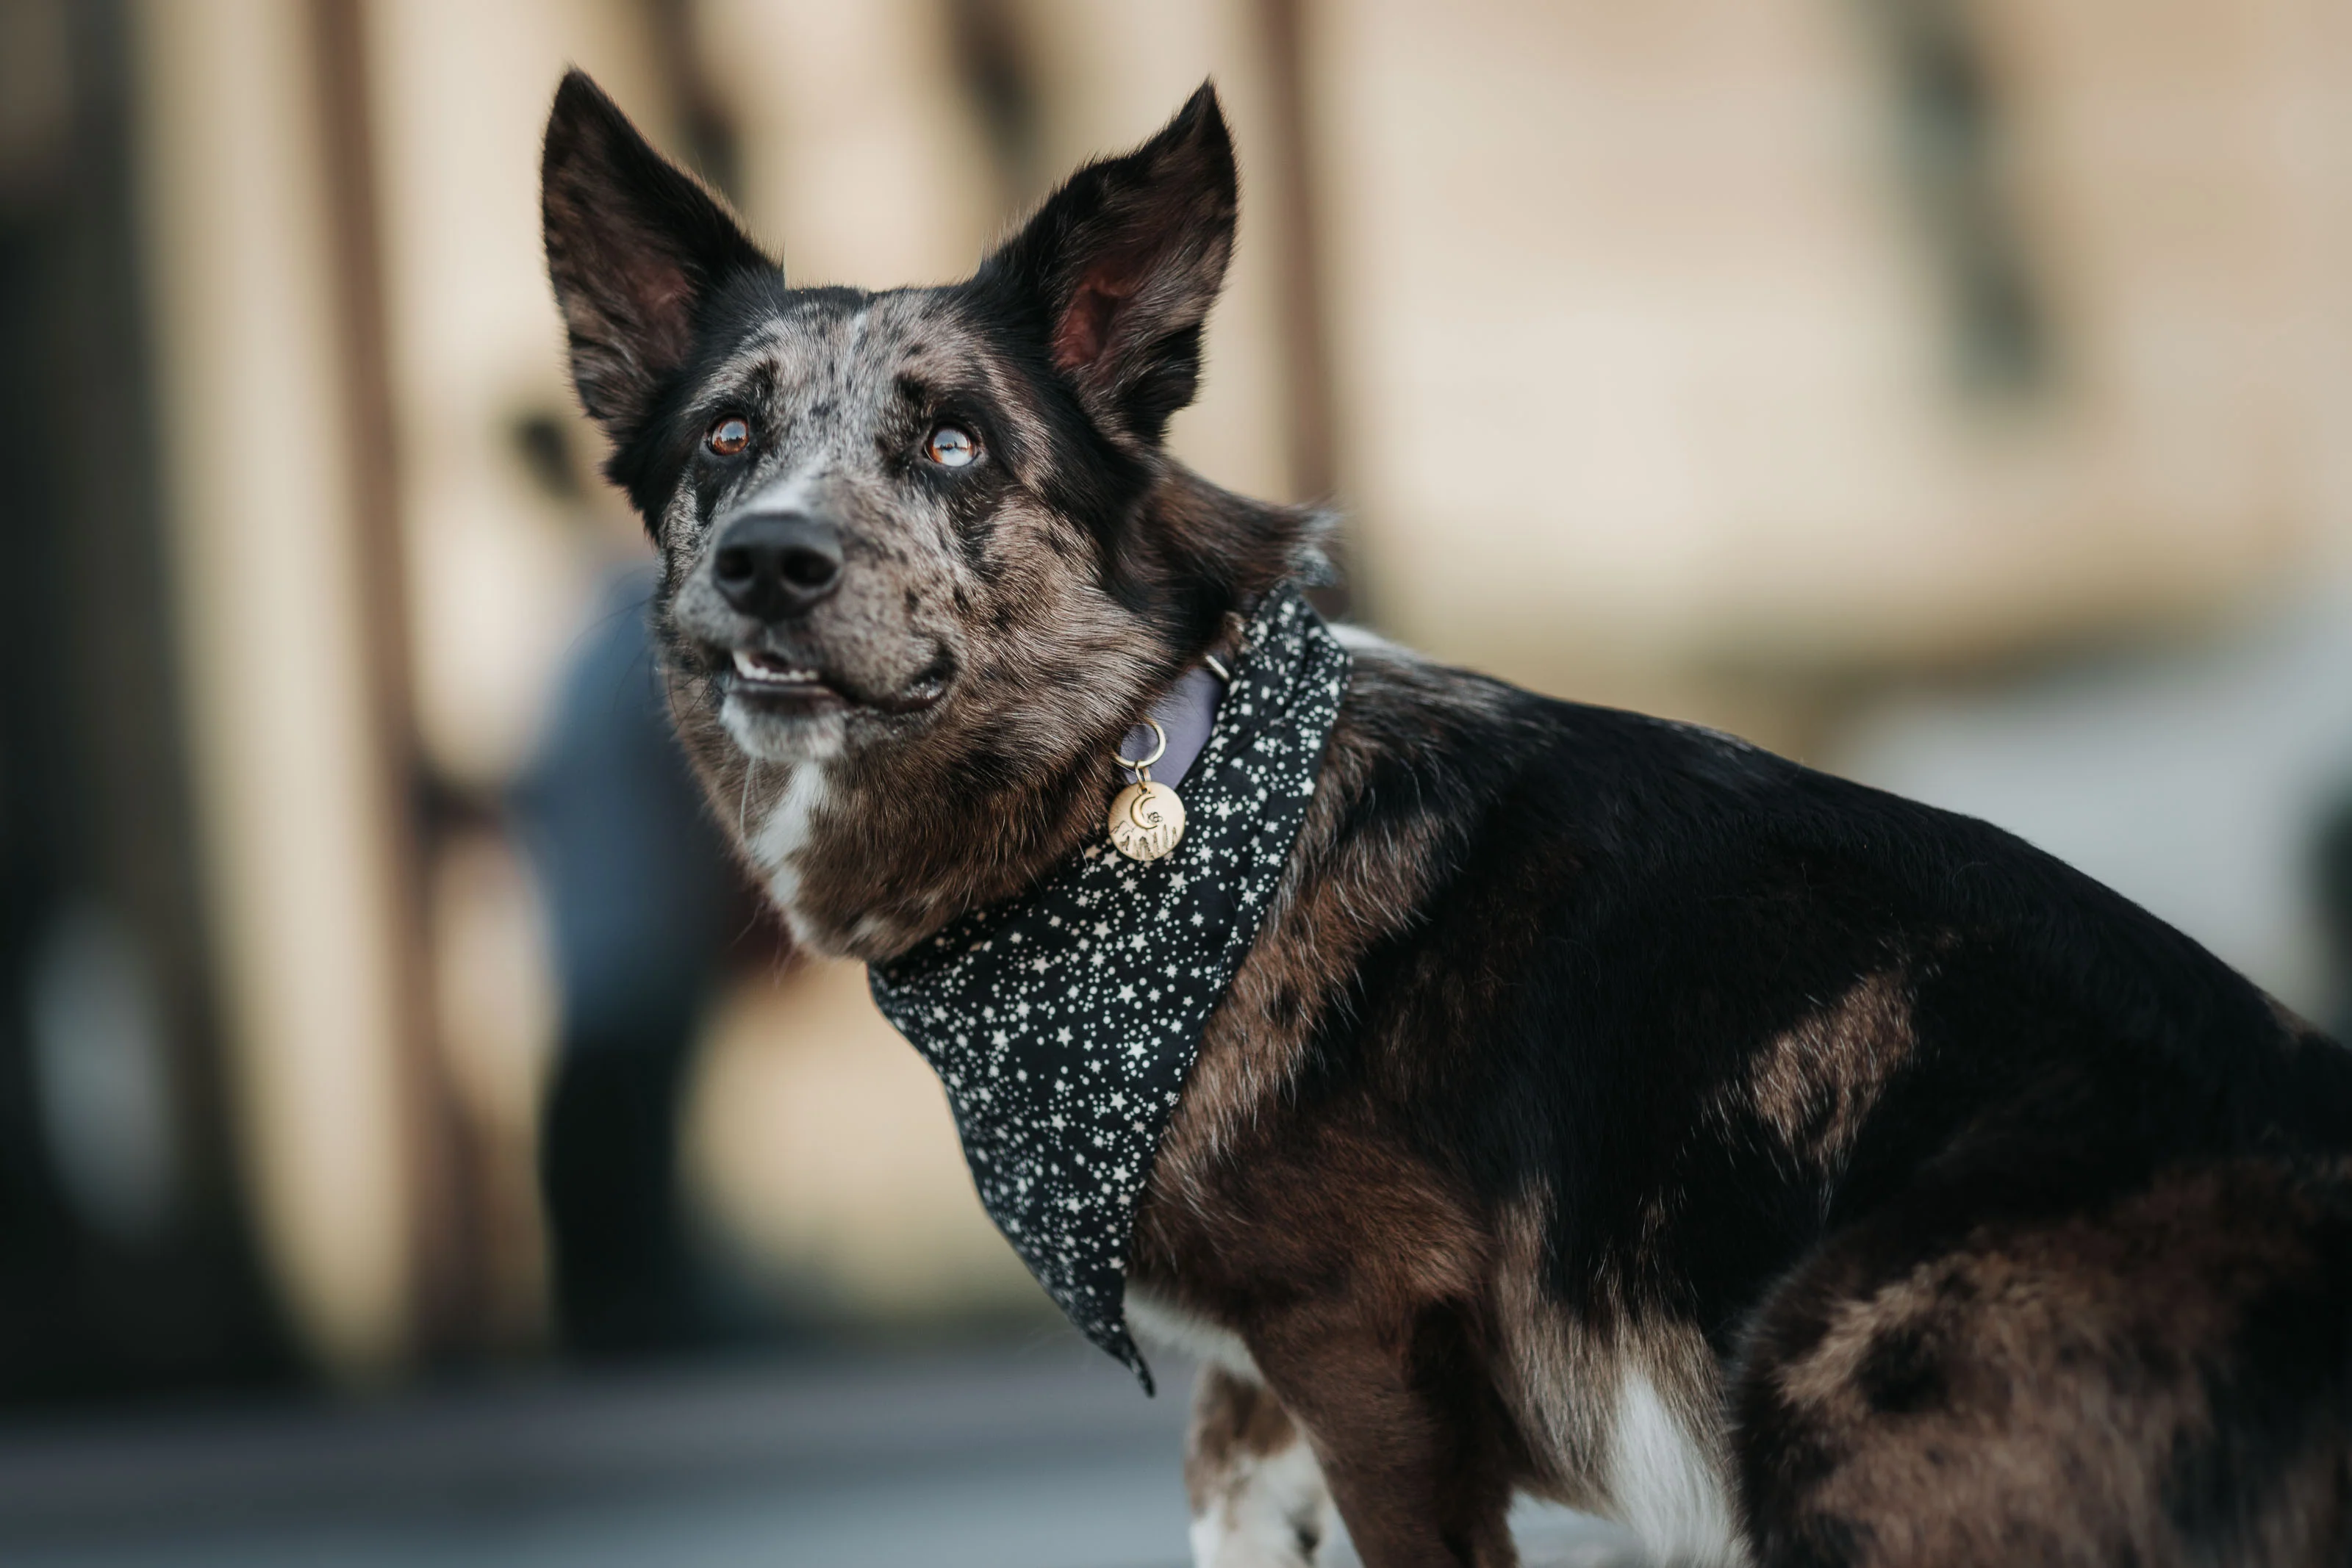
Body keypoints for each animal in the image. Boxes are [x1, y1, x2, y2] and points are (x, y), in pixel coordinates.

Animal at [540, 69, 2352, 1567]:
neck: (1157, 785)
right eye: (726, 436)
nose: (769, 559)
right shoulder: (1258, 1392)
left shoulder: (1373, 1356)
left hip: (1819, 1358)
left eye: (954, 441)